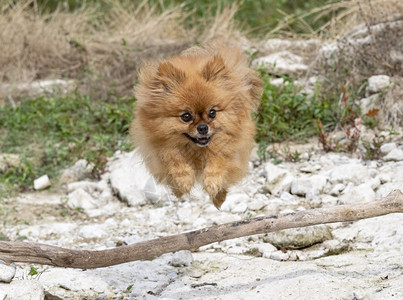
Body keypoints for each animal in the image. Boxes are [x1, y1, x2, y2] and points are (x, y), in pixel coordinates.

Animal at [131, 41, 264, 209]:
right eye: (186, 117)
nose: (203, 128)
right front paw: (184, 181)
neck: (196, 150)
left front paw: (213, 183)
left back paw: (218, 198)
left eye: (212, 113)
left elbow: (219, 161)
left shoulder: (229, 147)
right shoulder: (160, 148)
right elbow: (174, 160)